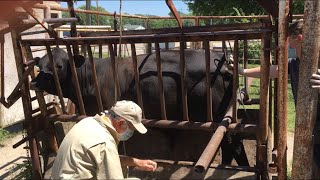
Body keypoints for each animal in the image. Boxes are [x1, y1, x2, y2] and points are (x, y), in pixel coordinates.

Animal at [30, 47, 250, 165]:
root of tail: (224, 61)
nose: (34, 83)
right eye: (39, 66)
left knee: (233, 145)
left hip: (218, 118)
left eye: (59, 65)